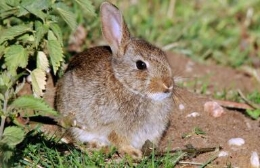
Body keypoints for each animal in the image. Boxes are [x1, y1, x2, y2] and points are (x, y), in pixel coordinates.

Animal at [56, 1, 175, 159]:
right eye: (141, 65)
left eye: (163, 55)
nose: (168, 85)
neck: (126, 85)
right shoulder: (113, 125)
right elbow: (118, 139)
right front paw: (133, 153)